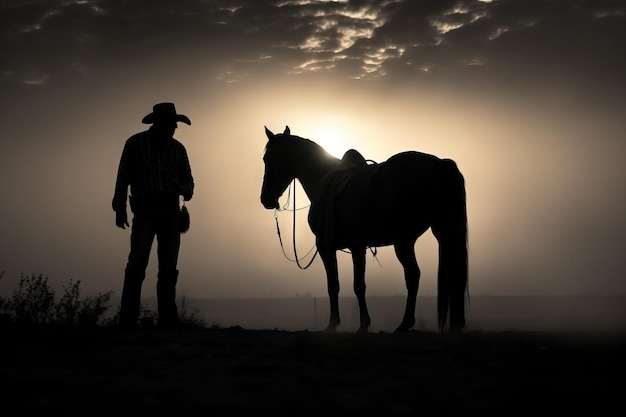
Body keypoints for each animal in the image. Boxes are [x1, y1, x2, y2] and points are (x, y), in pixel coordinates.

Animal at [258, 125, 468, 334]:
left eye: (267, 158)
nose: (265, 199)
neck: (323, 178)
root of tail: (439, 165)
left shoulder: (331, 247)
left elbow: (341, 285)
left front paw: (343, 324)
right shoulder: (356, 246)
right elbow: (351, 285)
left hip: (404, 241)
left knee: (413, 275)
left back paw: (405, 324)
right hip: (439, 233)